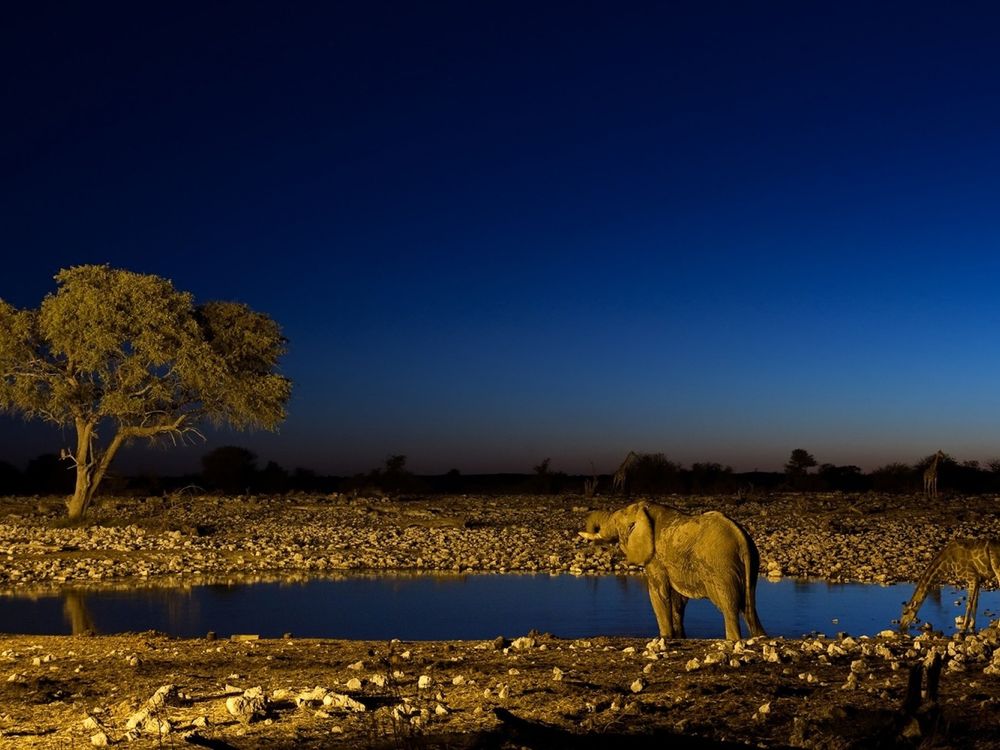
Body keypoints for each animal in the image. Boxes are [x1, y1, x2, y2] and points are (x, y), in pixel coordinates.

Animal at [579, 501, 766, 640]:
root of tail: (742, 539)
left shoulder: (655, 558)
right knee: (750, 607)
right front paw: (678, 637)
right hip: (750, 565)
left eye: (616, 522)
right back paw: (760, 637)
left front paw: (665, 637)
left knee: (729, 606)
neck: (644, 509)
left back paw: (733, 639)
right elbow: (677, 600)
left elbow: (658, 593)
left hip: (721, 566)